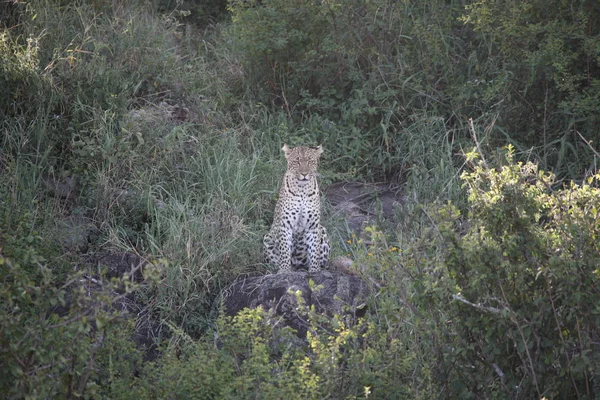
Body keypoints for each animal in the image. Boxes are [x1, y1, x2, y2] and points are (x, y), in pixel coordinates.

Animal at [264, 144, 330, 272]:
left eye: (310, 161)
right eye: (296, 162)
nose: (304, 174)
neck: (302, 189)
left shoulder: (313, 226)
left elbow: (314, 250)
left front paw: (314, 270)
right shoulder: (285, 225)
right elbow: (284, 249)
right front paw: (284, 270)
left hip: (323, 230)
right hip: (267, 237)